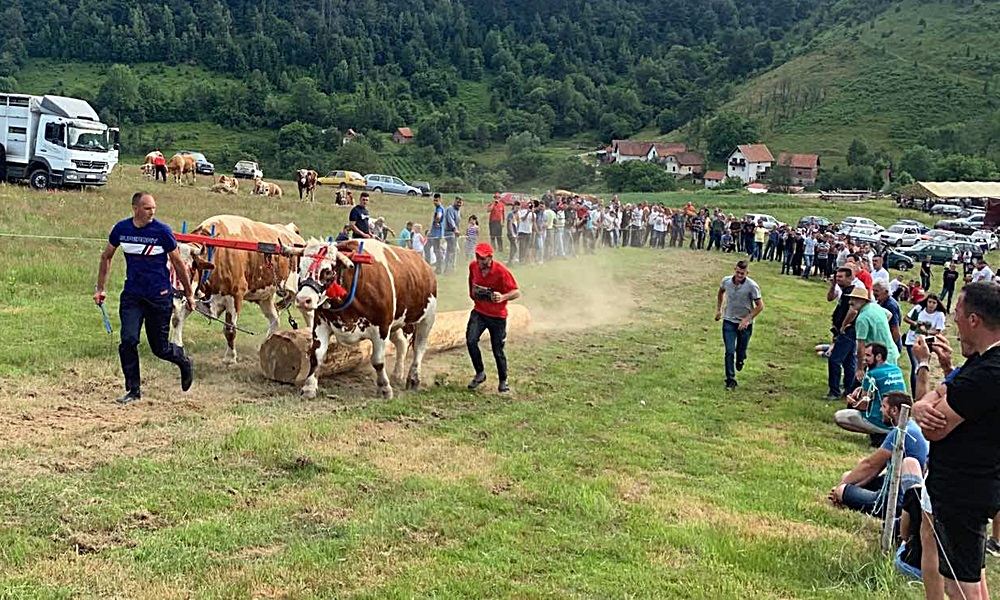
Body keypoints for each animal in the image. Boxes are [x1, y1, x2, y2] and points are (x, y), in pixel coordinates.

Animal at [171, 217, 308, 366]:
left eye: (190, 269)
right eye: (170, 266)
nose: (175, 296)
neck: (216, 252)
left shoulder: (235, 296)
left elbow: (230, 329)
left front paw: (230, 357)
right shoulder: (194, 295)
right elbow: (177, 319)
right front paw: (176, 346)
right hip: (265, 296)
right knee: (274, 318)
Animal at [286, 238, 434, 398]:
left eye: (327, 271)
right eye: (299, 269)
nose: (303, 300)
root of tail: (425, 264)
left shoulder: (382, 327)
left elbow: (378, 361)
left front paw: (384, 388)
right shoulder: (320, 324)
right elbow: (316, 356)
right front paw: (309, 388)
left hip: (427, 319)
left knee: (419, 347)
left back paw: (413, 379)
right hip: (396, 323)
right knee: (402, 343)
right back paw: (397, 375)